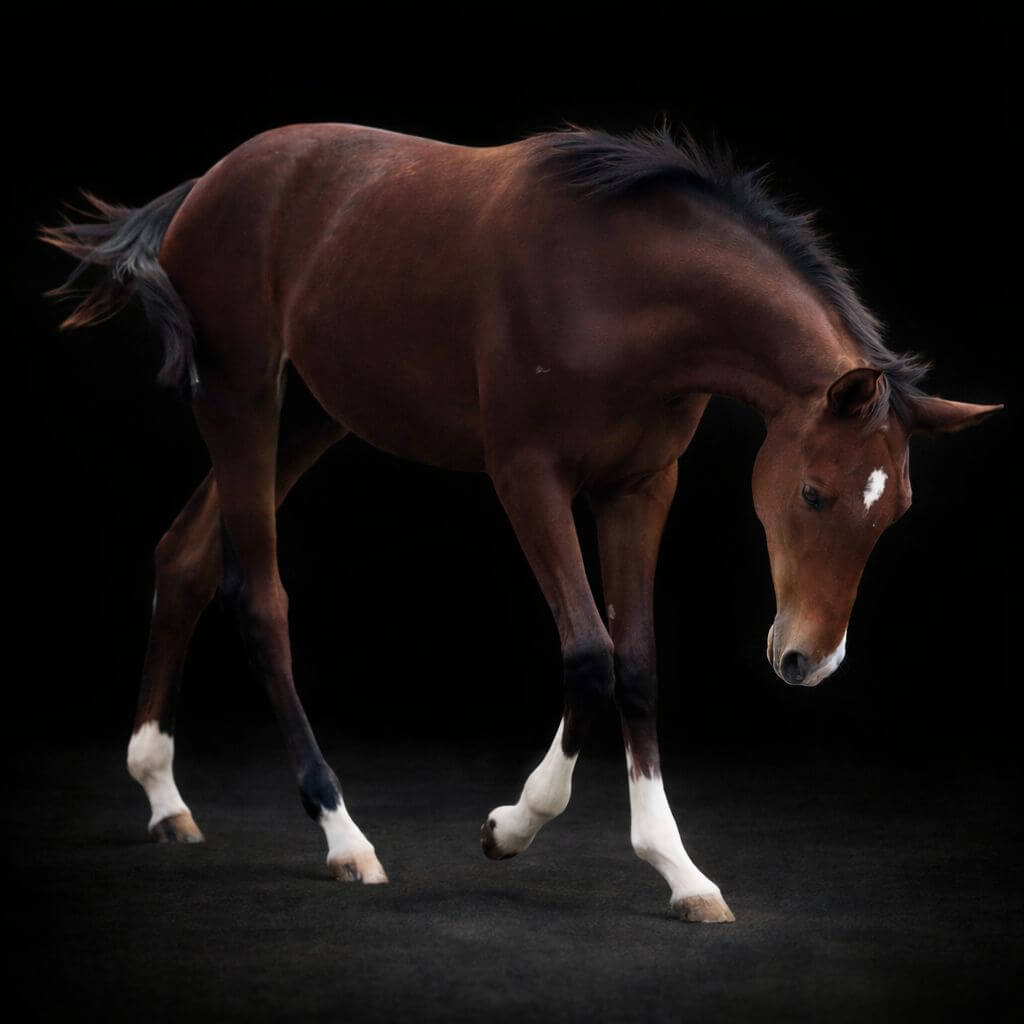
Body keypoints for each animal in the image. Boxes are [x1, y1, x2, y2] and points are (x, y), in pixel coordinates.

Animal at [42, 120, 1001, 924]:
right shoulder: (529, 479)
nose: (809, 660)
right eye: (811, 494)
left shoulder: (639, 488)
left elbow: (637, 662)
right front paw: (512, 825)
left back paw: (163, 794)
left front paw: (680, 870)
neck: (618, 283)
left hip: (311, 414)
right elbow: (588, 655)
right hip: (241, 400)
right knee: (260, 600)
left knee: (185, 555)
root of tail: (207, 184)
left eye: (897, 511)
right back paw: (343, 835)